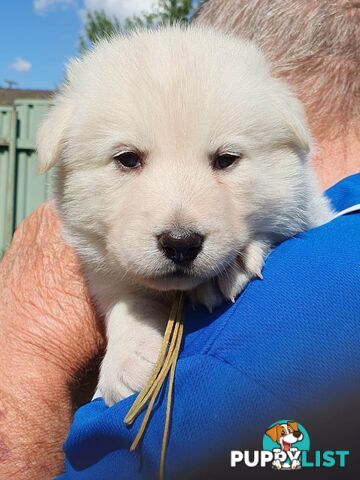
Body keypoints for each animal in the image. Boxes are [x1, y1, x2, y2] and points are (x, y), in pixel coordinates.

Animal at [36, 25, 332, 404]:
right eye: (127, 159)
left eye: (226, 159)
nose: (180, 243)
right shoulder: (100, 264)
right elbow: (124, 298)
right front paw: (128, 360)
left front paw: (234, 262)